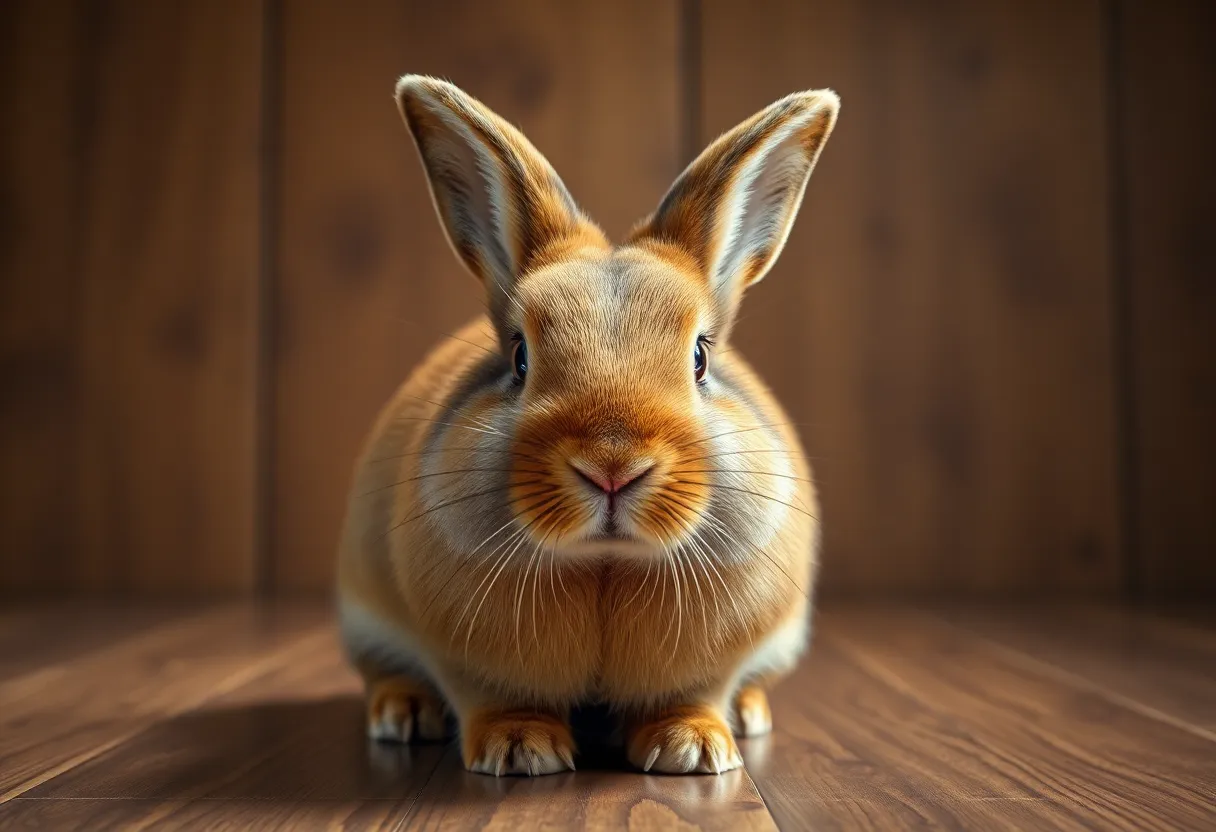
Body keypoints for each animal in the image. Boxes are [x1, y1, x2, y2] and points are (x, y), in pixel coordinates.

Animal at [337, 75, 838, 776]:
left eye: (701, 357)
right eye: (519, 357)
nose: (612, 466)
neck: (605, 564)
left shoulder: (712, 663)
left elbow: (692, 695)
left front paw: (692, 749)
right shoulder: (469, 661)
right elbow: (494, 697)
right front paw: (521, 750)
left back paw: (747, 715)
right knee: (383, 672)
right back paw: (405, 714)